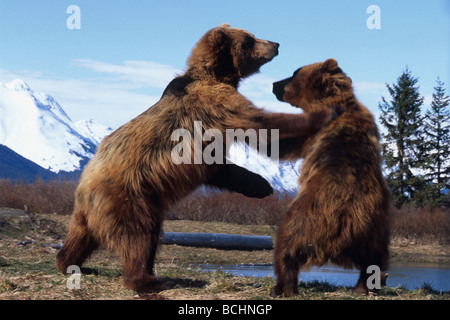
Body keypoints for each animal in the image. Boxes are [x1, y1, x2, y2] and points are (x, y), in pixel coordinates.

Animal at [54, 23, 340, 292]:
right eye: (250, 39)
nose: (276, 44)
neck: (217, 75)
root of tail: (84, 190)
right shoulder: (215, 104)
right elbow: (262, 124)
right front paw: (326, 113)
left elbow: (223, 168)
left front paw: (260, 185)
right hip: (129, 198)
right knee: (140, 236)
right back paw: (148, 280)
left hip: (89, 213)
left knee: (81, 238)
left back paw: (71, 262)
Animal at [270, 58, 390, 296]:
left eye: (294, 72)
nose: (274, 84)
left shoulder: (313, 128)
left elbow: (285, 142)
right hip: (374, 232)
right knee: (373, 260)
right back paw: (363, 287)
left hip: (305, 217)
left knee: (286, 245)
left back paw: (282, 286)